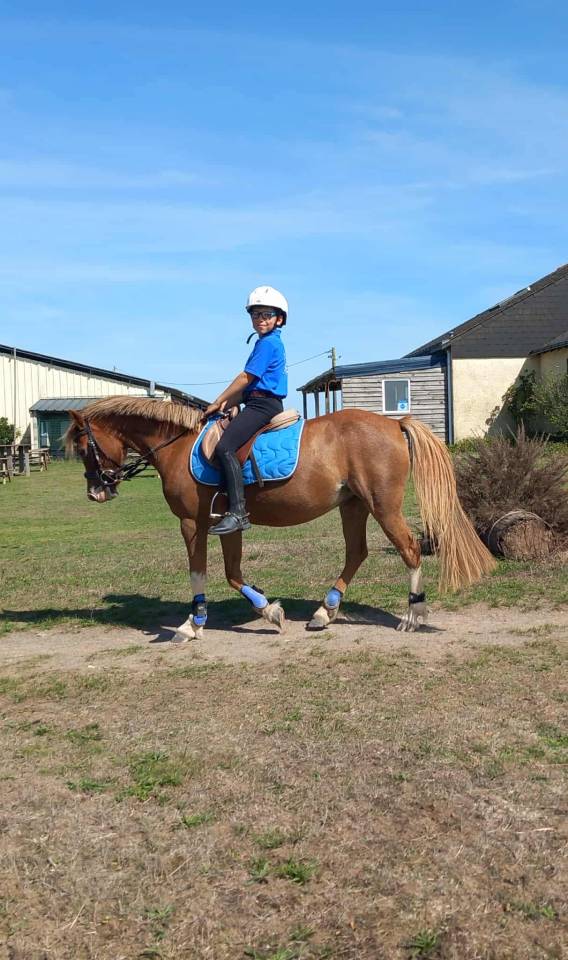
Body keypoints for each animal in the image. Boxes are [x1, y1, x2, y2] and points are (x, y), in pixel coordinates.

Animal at [65, 396, 495, 641]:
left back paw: (412, 614)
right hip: (354, 505)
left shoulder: (192, 523)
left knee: (409, 550)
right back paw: (325, 611)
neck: (180, 444)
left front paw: (193, 623)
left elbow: (199, 573)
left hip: (382, 506)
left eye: (85, 448)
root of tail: (392, 422)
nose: (96, 492)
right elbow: (233, 574)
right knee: (356, 553)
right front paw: (269, 610)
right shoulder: (225, 524)